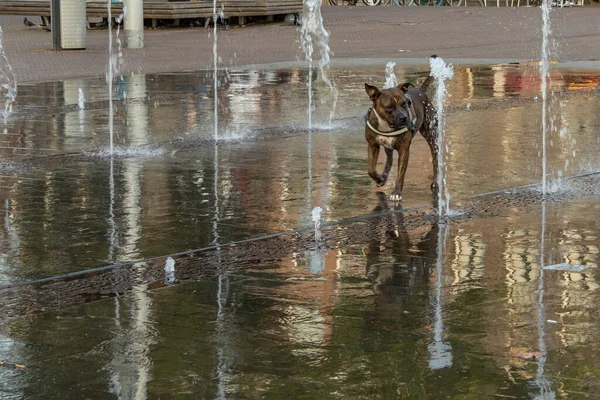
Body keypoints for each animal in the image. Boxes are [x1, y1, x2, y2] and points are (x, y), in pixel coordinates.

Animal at [364, 57, 438, 202]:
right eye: (389, 107)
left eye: (405, 104)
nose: (404, 118)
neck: (386, 125)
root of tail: (421, 92)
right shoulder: (373, 145)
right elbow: (371, 169)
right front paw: (379, 179)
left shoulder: (404, 150)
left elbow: (401, 174)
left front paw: (396, 192)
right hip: (388, 146)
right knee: (389, 160)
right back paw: (383, 177)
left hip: (431, 135)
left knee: (436, 159)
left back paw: (435, 182)